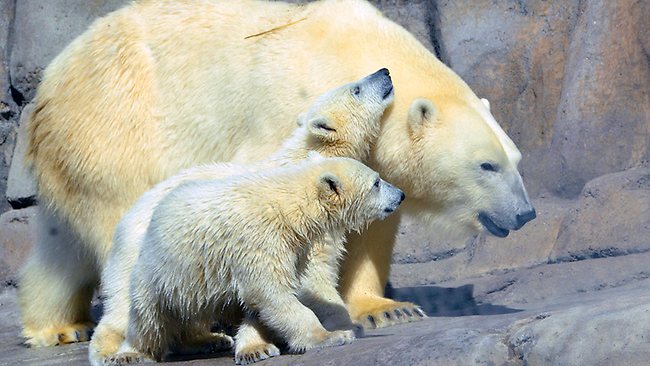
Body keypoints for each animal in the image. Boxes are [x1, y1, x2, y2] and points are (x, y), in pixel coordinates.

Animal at [22, 0, 536, 346]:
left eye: (516, 160)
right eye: (486, 165)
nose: (526, 214)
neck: (344, 53)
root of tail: (48, 87)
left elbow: (369, 227)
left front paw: (389, 310)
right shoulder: (285, 117)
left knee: (61, 246)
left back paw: (59, 327)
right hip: (115, 133)